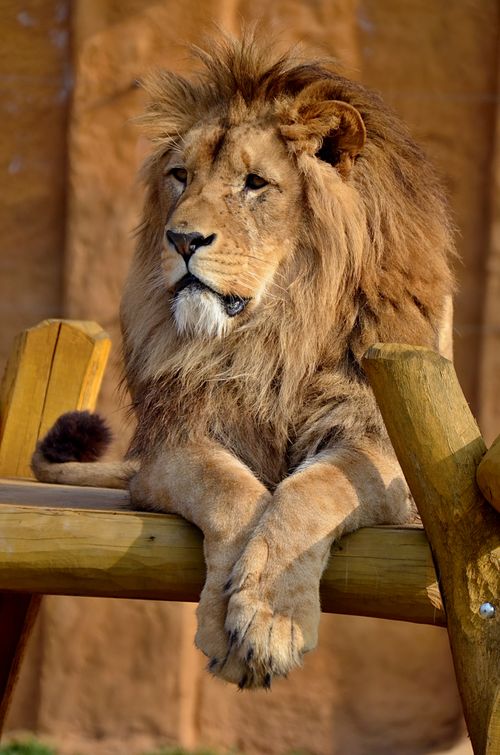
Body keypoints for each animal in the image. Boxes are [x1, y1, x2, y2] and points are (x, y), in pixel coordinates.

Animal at [32, 34, 455, 690]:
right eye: (180, 176)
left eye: (255, 183)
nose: (182, 239)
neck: (274, 333)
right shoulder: (170, 447)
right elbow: (235, 493)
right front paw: (230, 626)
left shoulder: (381, 452)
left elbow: (311, 493)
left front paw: (270, 620)